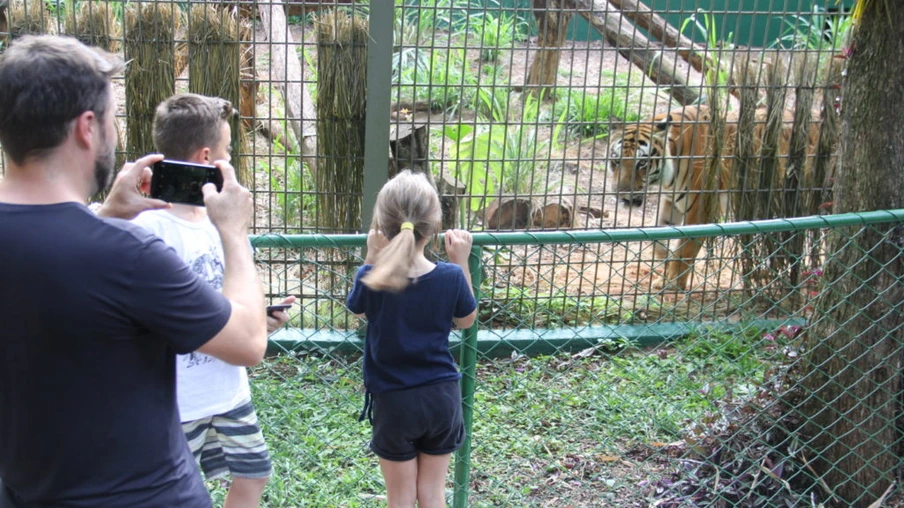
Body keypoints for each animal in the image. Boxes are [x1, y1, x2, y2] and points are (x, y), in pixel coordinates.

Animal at [608, 104, 820, 290]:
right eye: (616, 162)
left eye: (641, 164)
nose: (622, 193)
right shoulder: (671, 201)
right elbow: (658, 239)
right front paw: (665, 272)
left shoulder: (699, 208)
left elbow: (685, 249)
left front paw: (673, 284)